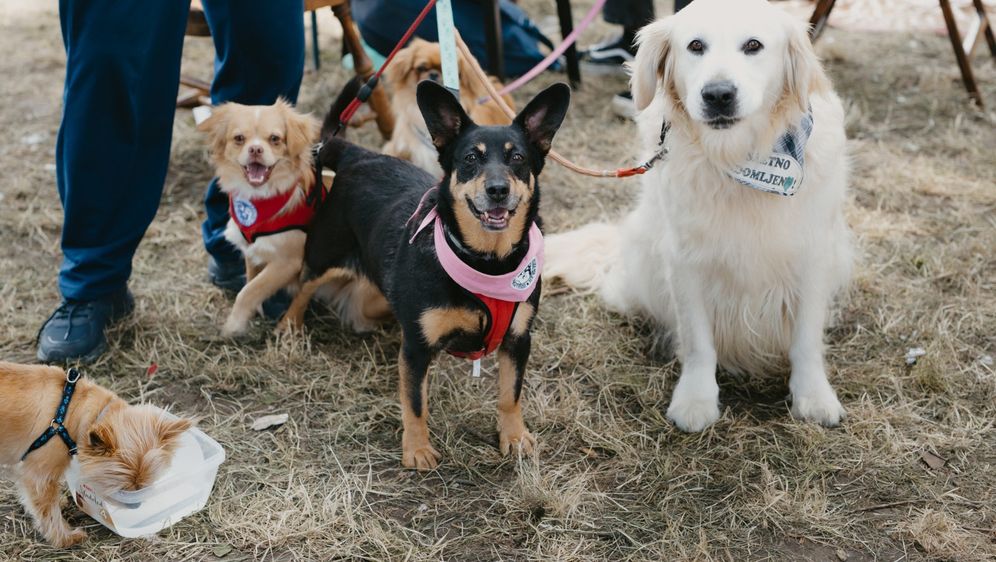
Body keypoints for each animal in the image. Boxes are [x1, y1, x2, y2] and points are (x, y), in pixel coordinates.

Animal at [0, 360, 193, 544]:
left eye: (143, 486)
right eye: (122, 488)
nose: (136, 506)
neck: (69, 409)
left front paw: (60, 502)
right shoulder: (39, 477)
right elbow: (50, 512)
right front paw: (66, 538)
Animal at [200, 99, 324, 336]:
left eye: (275, 139)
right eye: (239, 138)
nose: (255, 149)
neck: (260, 198)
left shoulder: (287, 262)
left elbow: (248, 291)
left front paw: (233, 327)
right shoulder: (251, 250)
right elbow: (251, 280)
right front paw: (254, 312)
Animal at [284, 81, 572, 468]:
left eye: (518, 159)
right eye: (470, 159)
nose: (498, 190)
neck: (487, 260)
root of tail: (358, 155)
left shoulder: (518, 339)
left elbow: (510, 394)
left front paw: (513, 437)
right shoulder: (417, 349)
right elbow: (415, 402)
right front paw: (417, 449)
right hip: (324, 252)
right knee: (302, 287)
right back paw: (288, 329)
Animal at [548, 0, 852, 430]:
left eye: (753, 45)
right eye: (695, 46)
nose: (718, 94)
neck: (738, 157)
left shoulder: (812, 254)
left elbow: (806, 339)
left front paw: (813, 396)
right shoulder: (685, 259)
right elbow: (697, 341)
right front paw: (695, 399)